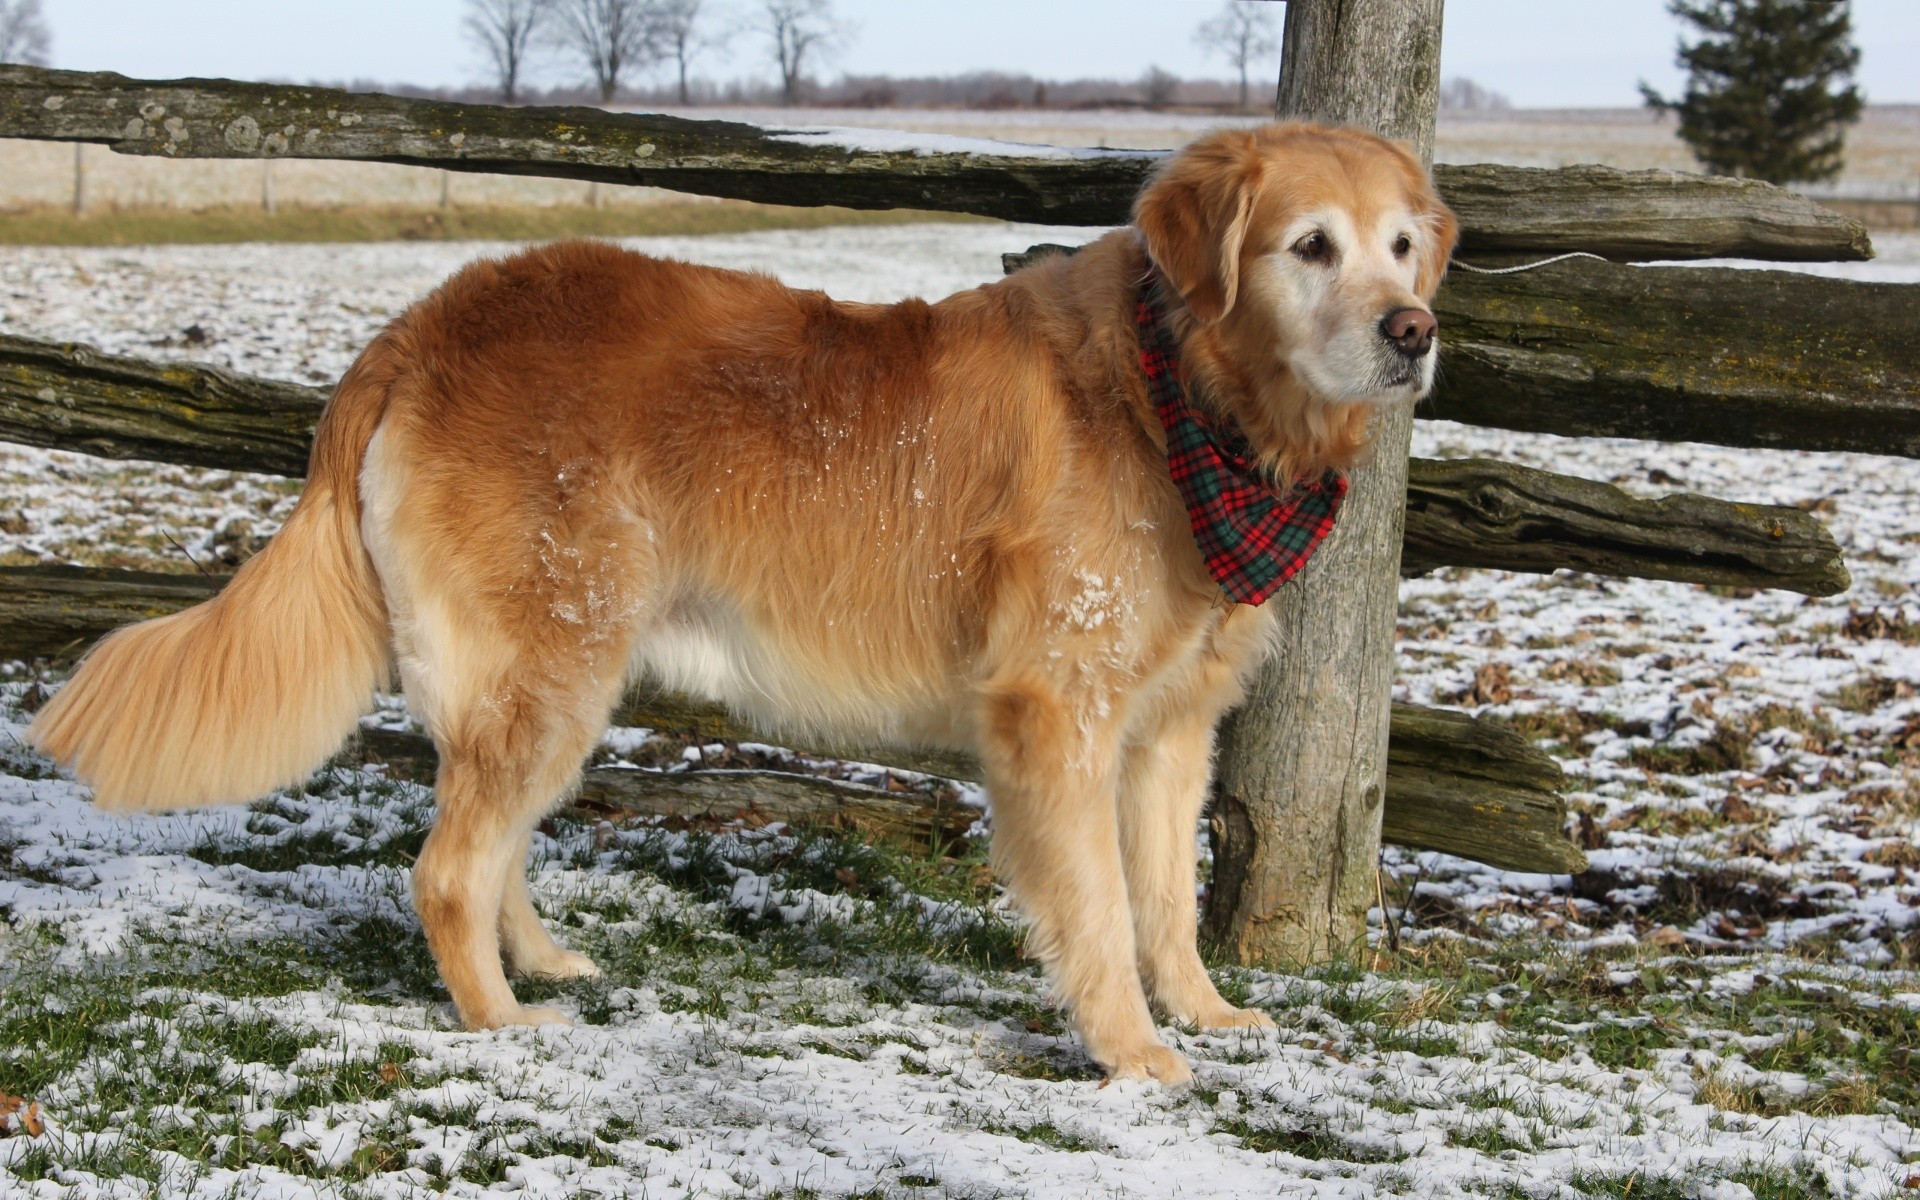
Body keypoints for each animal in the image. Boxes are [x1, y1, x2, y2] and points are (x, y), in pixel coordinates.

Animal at [30, 123, 1443, 1082]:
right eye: (1310, 247)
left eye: (1403, 247)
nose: (1414, 331)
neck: (1181, 398)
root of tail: (421, 323)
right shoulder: (1058, 712)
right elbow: (1098, 905)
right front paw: (1133, 1052)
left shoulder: (1167, 730)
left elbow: (1163, 896)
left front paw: (1199, 1008)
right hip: (555, 654)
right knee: (442, 868)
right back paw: (501, 1018)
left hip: (553, 665)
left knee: (486, 844)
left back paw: (537, 960)